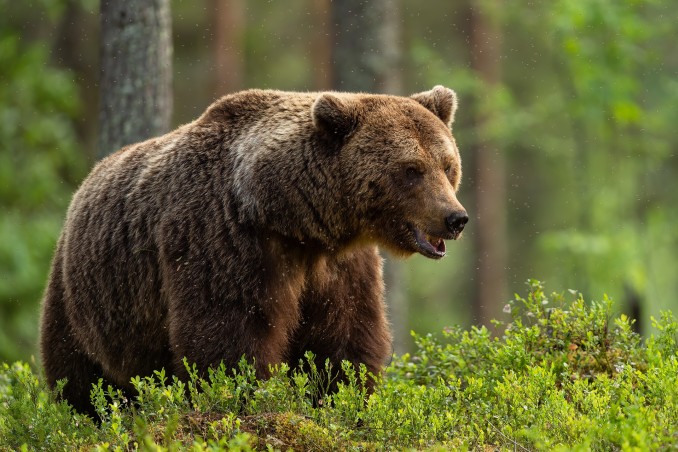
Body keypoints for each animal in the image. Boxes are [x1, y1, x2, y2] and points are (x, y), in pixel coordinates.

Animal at [40, 86, 468, 416]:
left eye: (447, 165)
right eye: (411, 170)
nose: (455, 218)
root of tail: (83, 185)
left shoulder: (338, 266)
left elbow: (344, 337)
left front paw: (340, 398)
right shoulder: (226, 239)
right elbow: (229, 333)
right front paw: (247, 398)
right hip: (85, 296)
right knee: (78, 373)